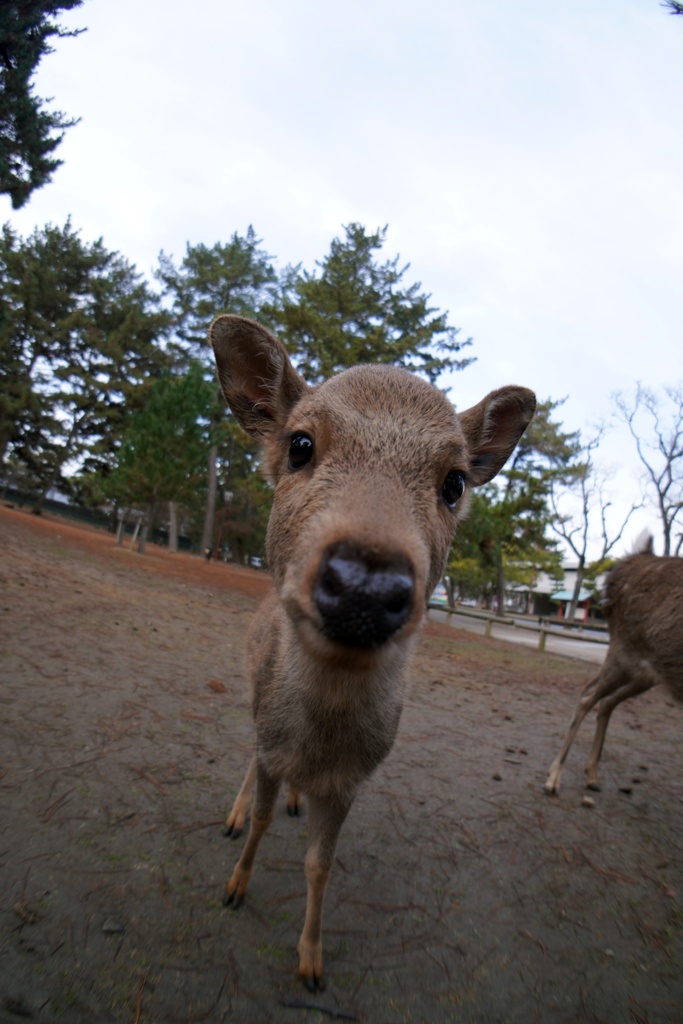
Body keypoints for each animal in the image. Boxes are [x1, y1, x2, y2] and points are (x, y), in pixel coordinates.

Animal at [210, 313, 536, 991]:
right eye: (300, 444)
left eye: (455, 482)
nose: (365, 583)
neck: (319, 742)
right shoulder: (272, 743)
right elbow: (261, 819)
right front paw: (235, 887)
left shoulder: (352, 781)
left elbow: (320, 865)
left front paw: (311, 960)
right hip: (252, 699)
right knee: (248, 759)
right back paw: (235, 815)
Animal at [544, 532, 683, 794]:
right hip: (623, 653)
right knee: (589, 696)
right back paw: (553, 777)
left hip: (645, 673)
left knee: (605, 700)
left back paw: (591, 776)